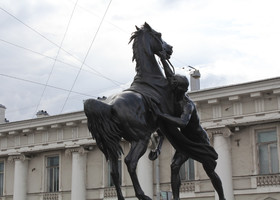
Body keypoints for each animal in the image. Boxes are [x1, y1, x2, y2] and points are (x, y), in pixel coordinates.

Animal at [84, 22, 174, 200]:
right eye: (159, 35)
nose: (170, 49)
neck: (151, 78)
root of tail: (110, 106)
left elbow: (161, 134)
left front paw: (154, 153)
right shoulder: (165, 117)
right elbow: (163, 134)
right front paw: (154, 153)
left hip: (113, 144)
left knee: (114, 170)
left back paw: (121, 197)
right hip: (140, 138)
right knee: (130, 162)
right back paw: (142, 195)